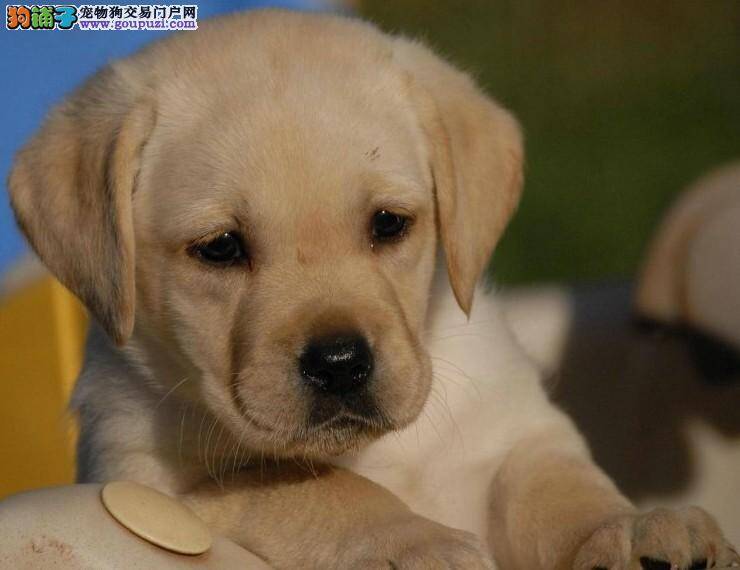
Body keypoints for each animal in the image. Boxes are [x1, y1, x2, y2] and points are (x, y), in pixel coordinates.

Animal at [8, 8, 736, 568]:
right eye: (220, 248)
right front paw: (417, 542)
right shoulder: (154, 479)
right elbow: (306, 486)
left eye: (389, 224)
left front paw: (631, 530)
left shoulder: (517, 432)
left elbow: (557, 489)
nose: (339, 363)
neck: (380, 453)